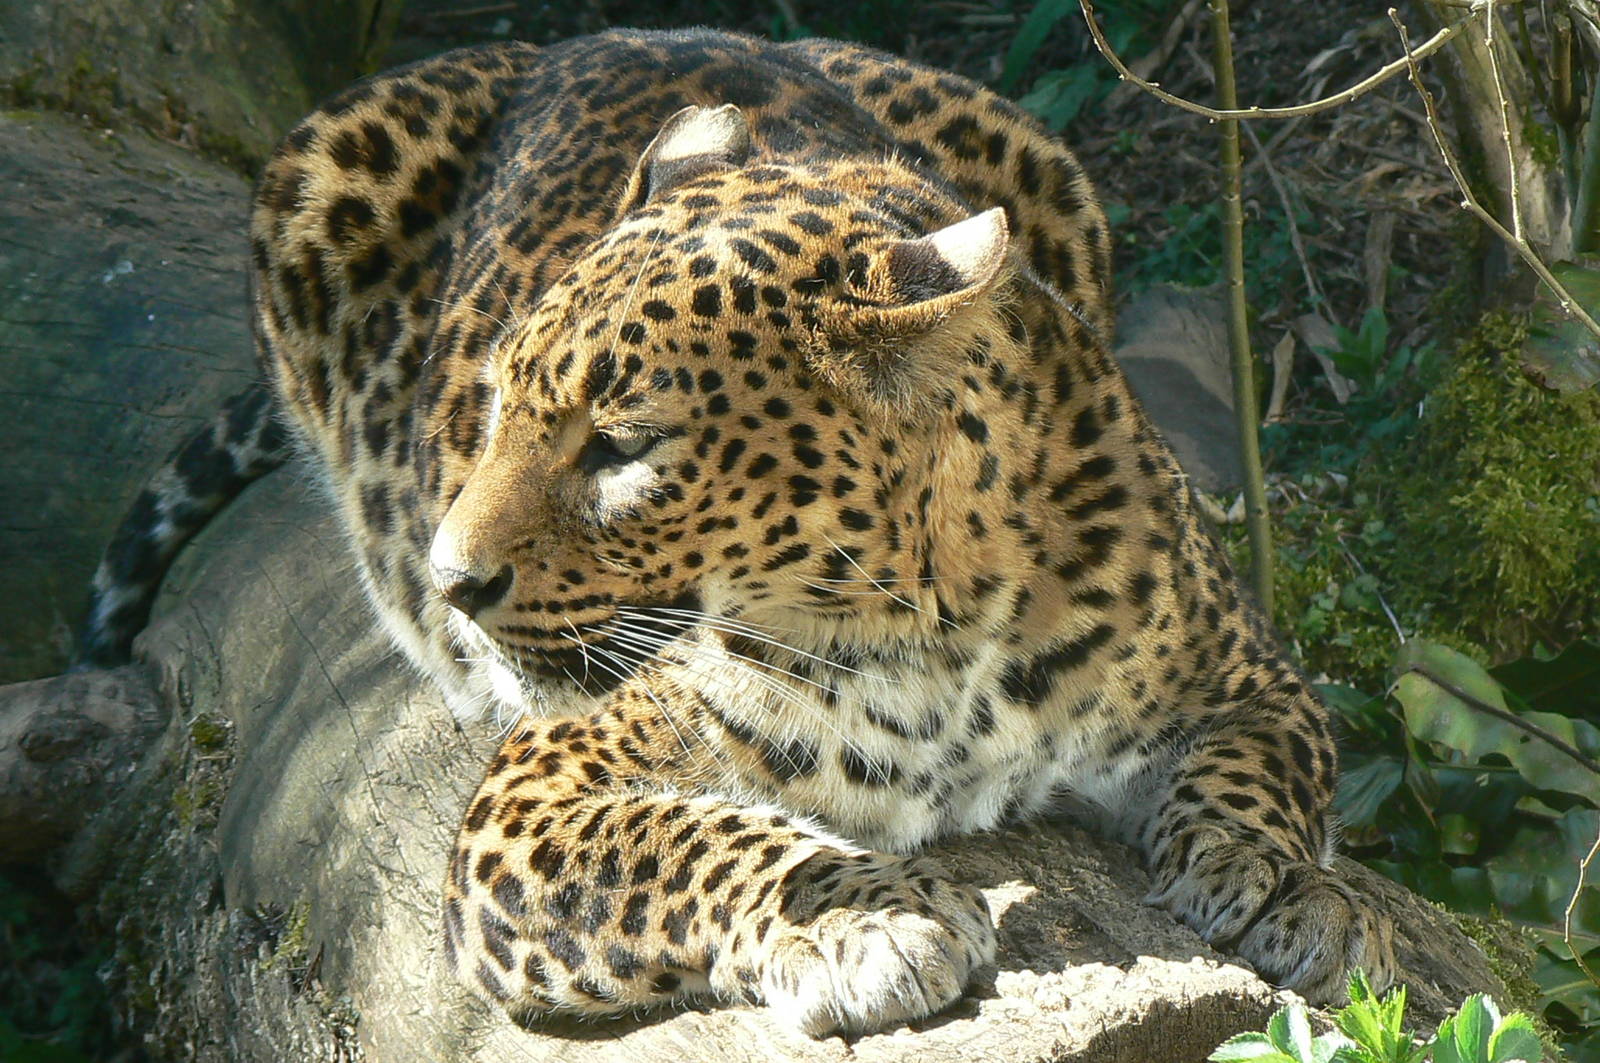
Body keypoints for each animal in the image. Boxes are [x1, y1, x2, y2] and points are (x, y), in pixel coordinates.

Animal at [81, 27, 1396, 1037]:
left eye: (621, 447)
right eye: (499, 401)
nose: (453, 582)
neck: (942, 634)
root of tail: (581, 38)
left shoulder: (1245, 673)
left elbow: (1269, 768)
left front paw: (1288, 885)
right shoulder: (534, 797)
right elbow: (682, 841)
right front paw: (866, 914)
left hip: (1040, 154)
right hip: (321, 161)